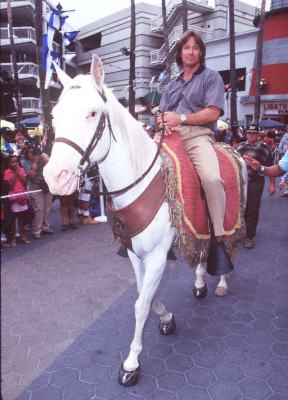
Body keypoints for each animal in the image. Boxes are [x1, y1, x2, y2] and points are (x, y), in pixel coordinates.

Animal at [44, 54, 246, 386]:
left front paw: (131, 363)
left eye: (92, 113)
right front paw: (166, 319)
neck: (139, 179)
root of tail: (232, 148)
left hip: (232, 213)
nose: (55, 177)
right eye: (54, 115)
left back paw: (222, 281)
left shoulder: (156, 256)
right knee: (203, 248)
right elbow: (146, 296)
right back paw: (200, 282)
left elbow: (141, 305)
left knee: (227, 242)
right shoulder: (134, 253)